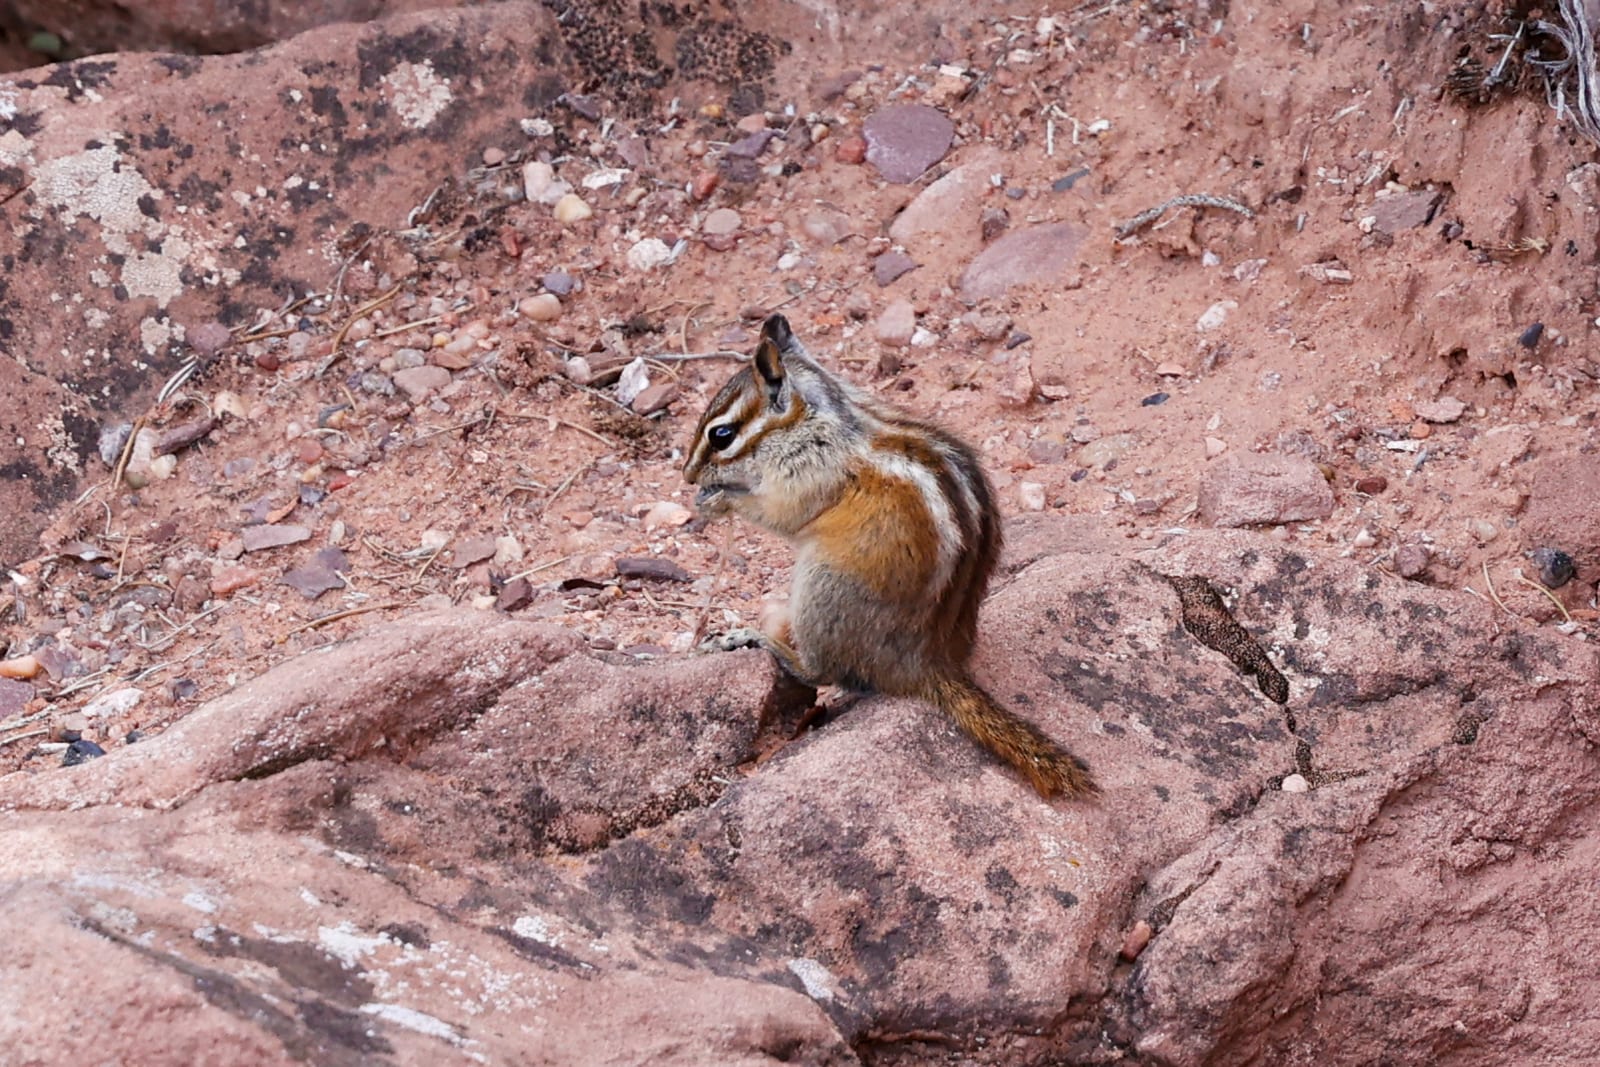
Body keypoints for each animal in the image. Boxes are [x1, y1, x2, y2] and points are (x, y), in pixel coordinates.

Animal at [683, 313, 1096, 799]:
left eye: (721, 434)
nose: (687, 474)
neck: (824, 417)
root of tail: (923, 665)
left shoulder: (809, 476)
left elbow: (781, 514)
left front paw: (717, 500)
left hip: (822, 591)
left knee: (821, 672)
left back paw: (761, 640)